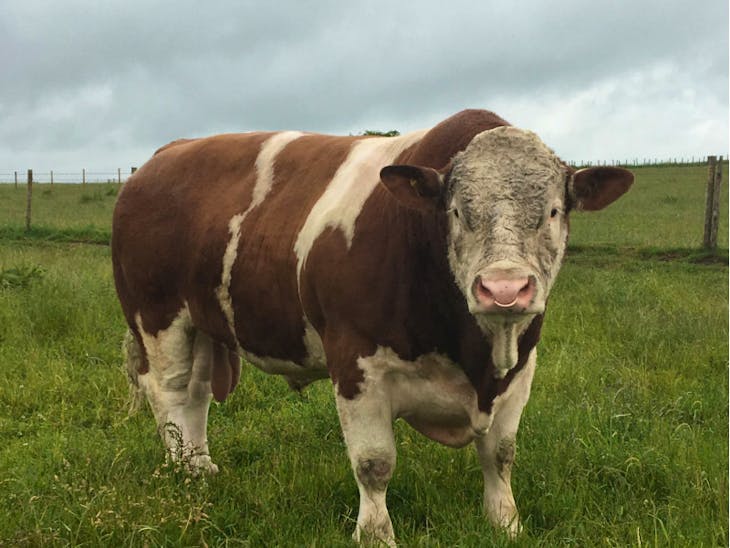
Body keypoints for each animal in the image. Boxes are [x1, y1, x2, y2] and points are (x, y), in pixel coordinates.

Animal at [112, 109, 633, 545]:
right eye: (457, 212)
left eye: (553, 211)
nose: (504, 289)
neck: (474, 356)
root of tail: (164, 156)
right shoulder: (355, 363)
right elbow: (374, 463)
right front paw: (376, 535)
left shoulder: (521, 365)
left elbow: (500, 454)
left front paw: (505, 522)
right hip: (158, 316)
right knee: (171, 392)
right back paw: (183, 472)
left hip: (203, 323)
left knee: (197, 393)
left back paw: (202, 466)